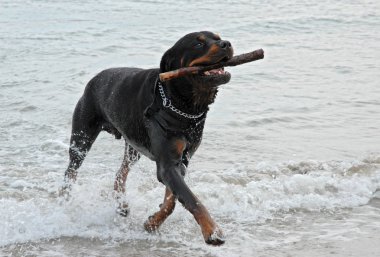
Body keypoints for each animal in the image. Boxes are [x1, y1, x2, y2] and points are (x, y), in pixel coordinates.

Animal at [63, 30, 233, 244]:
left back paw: (122, 206)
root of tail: (94, 79)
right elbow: (190, 198)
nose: (226, 43)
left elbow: (172, 201)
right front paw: (212, 230)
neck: (183, 105)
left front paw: (152, 223)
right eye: (198, 44)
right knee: (71, 170)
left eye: (218, 37)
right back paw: (65, 200)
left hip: (134, 145)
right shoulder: (167, 164)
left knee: (120, 173)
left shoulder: (182, 160)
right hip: (82, 135)